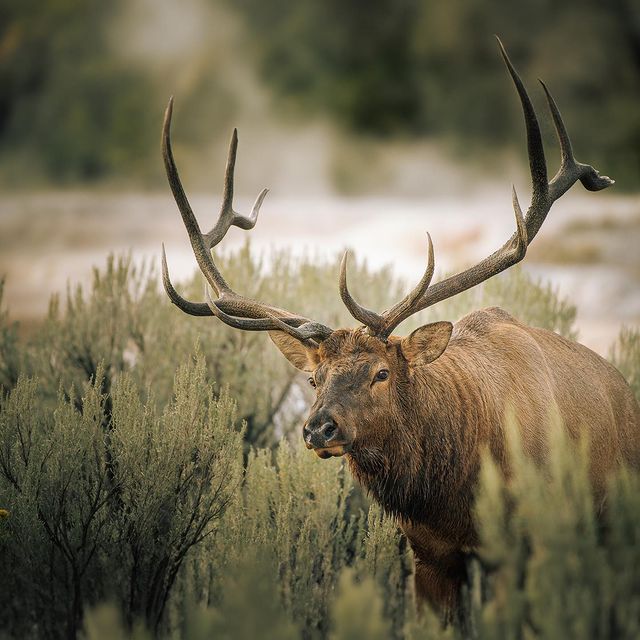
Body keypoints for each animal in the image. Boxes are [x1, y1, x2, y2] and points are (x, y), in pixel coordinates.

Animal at [160, 39, 640, 618]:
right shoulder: (428, 554)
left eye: (381, 373)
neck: (454, 492)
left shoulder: (516, 546)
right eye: (313, 379)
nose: (318, 429)